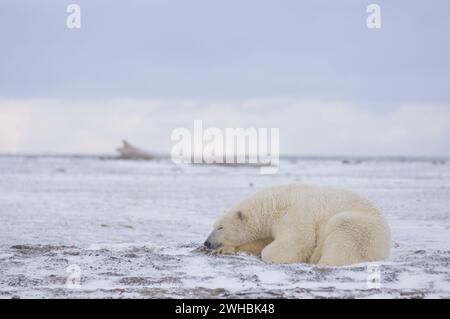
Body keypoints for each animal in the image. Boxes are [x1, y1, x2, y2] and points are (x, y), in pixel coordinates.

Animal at [204, 184, 390, 266]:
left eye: (220, 227)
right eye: (213, 226)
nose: (206, 243)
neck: (272, 205)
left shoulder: (294, 214)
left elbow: (297, 242)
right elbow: (260, 242)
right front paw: (223, 249)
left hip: (360, 226)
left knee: (341, 236)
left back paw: (318, 259)